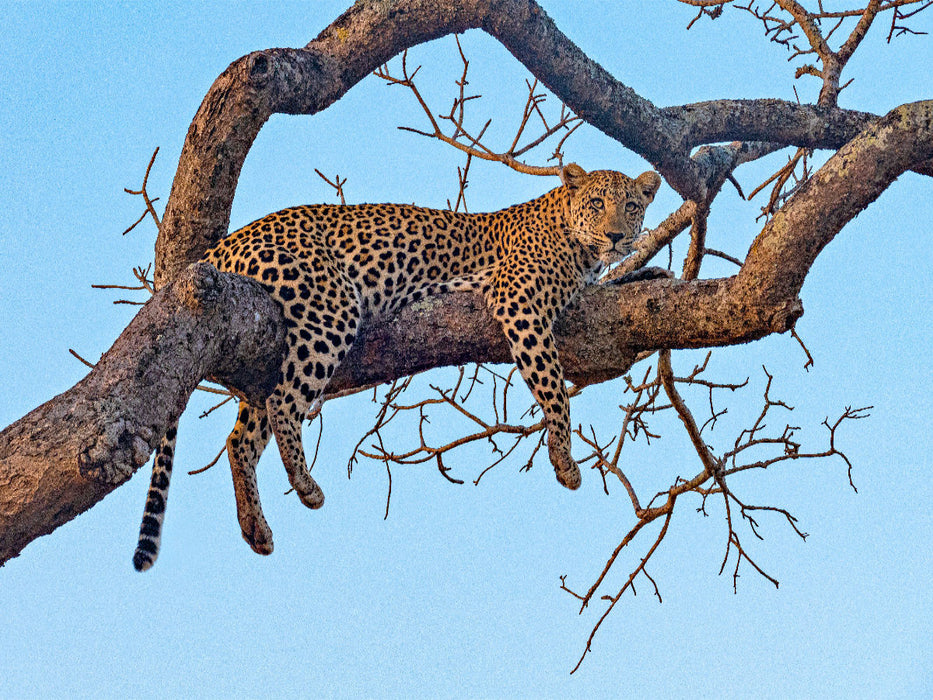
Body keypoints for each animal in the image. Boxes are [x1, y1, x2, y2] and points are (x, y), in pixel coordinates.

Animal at [132, 163, 661, 571]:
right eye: (596, 203)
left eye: (632, 207)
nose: (616, 235)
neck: (580, 247)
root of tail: (221, 246)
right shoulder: (519, 299)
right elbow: (553, 386)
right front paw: (565, 460)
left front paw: (649, 270)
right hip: (331, 306)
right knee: (285, 402)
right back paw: (306, 485)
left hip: (264, 355)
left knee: (240, 437)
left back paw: (255, 527)